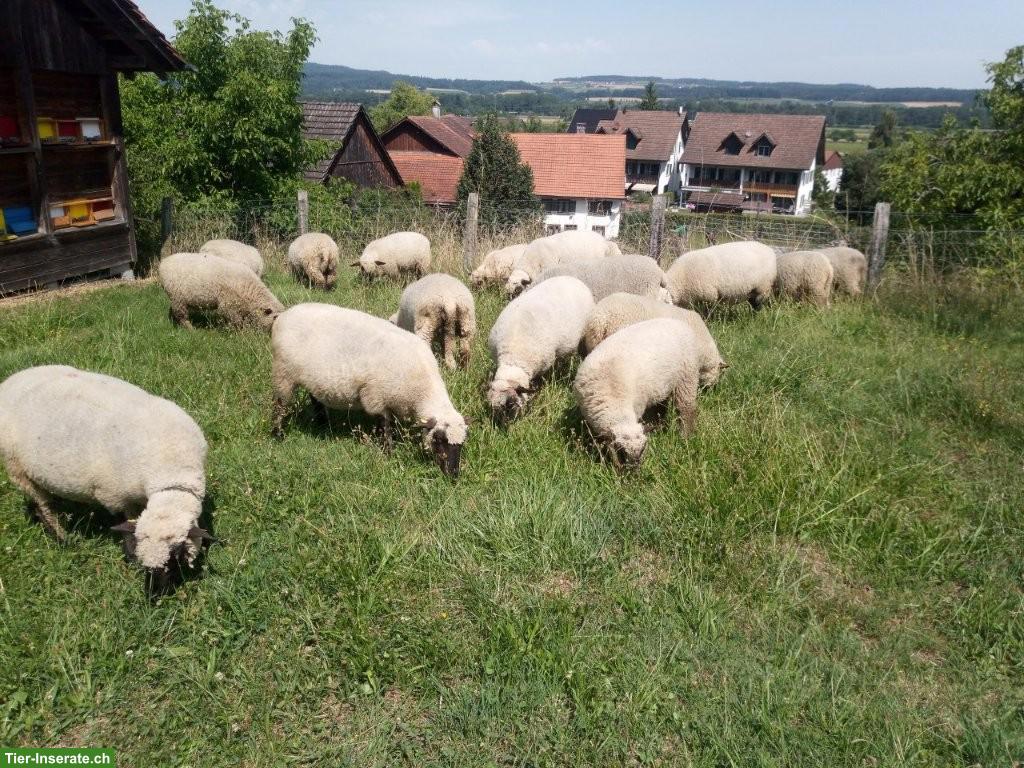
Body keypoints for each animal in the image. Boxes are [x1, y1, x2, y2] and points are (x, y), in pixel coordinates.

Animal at [0, 365, 210, 590]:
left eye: (174, 554)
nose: (152, 593)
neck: (171, 471)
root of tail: (11, 381)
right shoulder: (115, 496)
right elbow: (125, 526)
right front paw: (130, 557)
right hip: (16, 467)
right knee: (42, 507)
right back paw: (64, 540)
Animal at [271, 304, 467, 477]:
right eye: (439, 440)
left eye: (461, 444)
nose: (453, 475)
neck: (421, 390)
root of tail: (284, 315)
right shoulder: (377, 398)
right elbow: (384, 429)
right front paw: (388, 454)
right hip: (283, 373)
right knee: (279, 405)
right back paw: (277, 434)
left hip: (311, 377)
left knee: (315, 399)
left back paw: (323, 424)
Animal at [574, 318, 701, 469]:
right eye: (622, 451)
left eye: (643, 450)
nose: (633, 470)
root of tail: (677, 321)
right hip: (662, 386)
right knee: (660, 407)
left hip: (687, 377)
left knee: (686, 410)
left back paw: (684, 437)